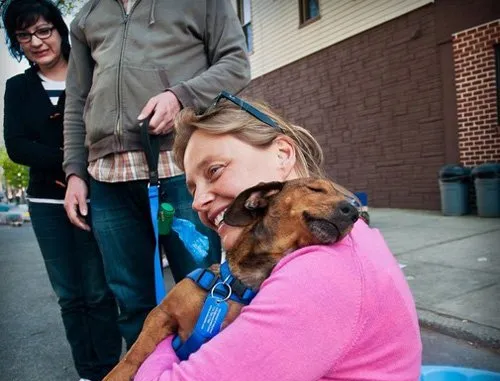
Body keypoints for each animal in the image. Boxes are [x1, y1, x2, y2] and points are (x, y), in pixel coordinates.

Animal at [103, 177, 358, 378]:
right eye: (315, 188)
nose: (354, 212)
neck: (232, 283)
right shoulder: (161, 314)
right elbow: (134, 354)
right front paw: (116, 374)